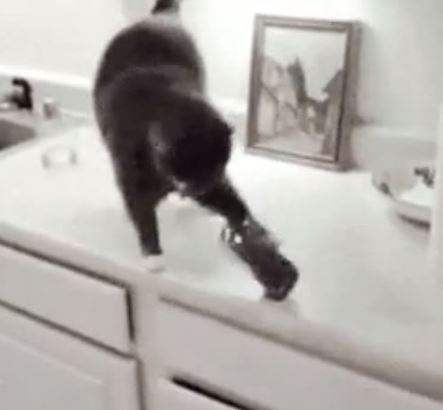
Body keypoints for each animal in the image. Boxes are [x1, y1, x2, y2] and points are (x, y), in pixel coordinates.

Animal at [93, 0, 298, 301]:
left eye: (218, 166)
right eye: (193, 169)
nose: (203, 186)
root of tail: (159, 17)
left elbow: (233, 204)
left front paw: (251, 230)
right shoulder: (130, 174)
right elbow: (141, 212)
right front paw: (153, 255)